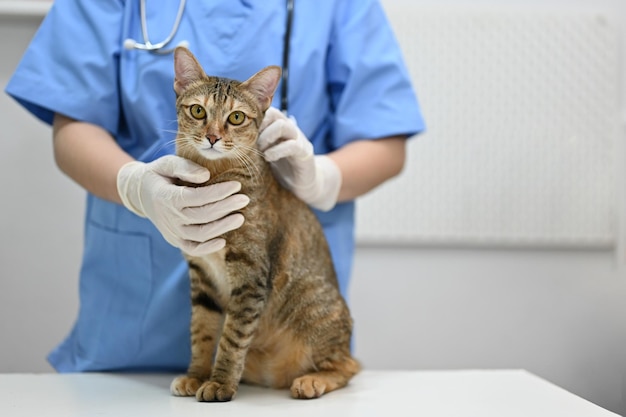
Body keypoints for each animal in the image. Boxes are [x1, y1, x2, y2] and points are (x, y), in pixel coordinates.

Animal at [168, 47, 358, 402]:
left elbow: (231, 339)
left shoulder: (250, 276)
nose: (212, 137)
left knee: (349, 365)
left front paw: (219, 383)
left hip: (312, 306)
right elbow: (201, 332)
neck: (212, 180)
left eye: (236, 117)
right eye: (198, 110)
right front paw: (196, 375)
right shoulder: (201, 275)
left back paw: (313, 380)